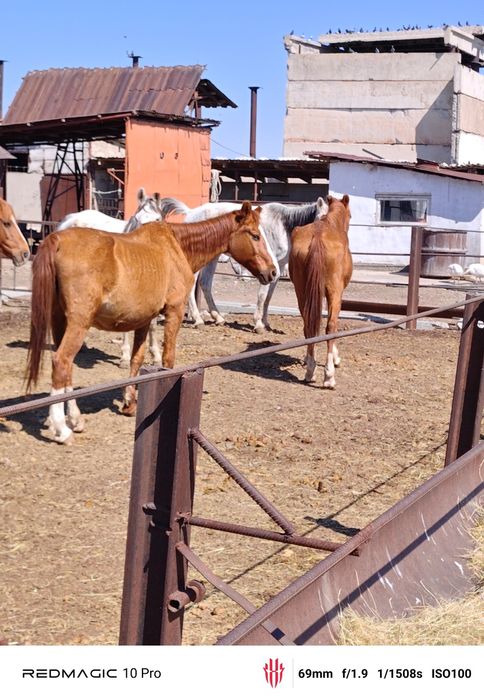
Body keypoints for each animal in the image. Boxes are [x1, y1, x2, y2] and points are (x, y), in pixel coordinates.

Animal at [57, 188, 164, 367]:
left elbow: (153, 325)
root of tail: (70, 218)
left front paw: (156, 356)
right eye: (137, 218)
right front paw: (125, 357)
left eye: (157, 219)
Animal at [157, 197, 327, 332]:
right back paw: (197, 319)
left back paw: (217, 317)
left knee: (205, 283)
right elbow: (262, 295)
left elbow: (269, 297)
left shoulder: (277, 268)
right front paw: (258, 323)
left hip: (213, 257)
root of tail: (191, 212)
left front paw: (266, 322)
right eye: (321, 219)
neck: (283, 226)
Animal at [289, 194, 352, 389]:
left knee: (308, 324)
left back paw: (310, 370)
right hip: (334, 293)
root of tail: (318, 237)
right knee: (330, 326)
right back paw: (329, 376)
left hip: (301, 292)